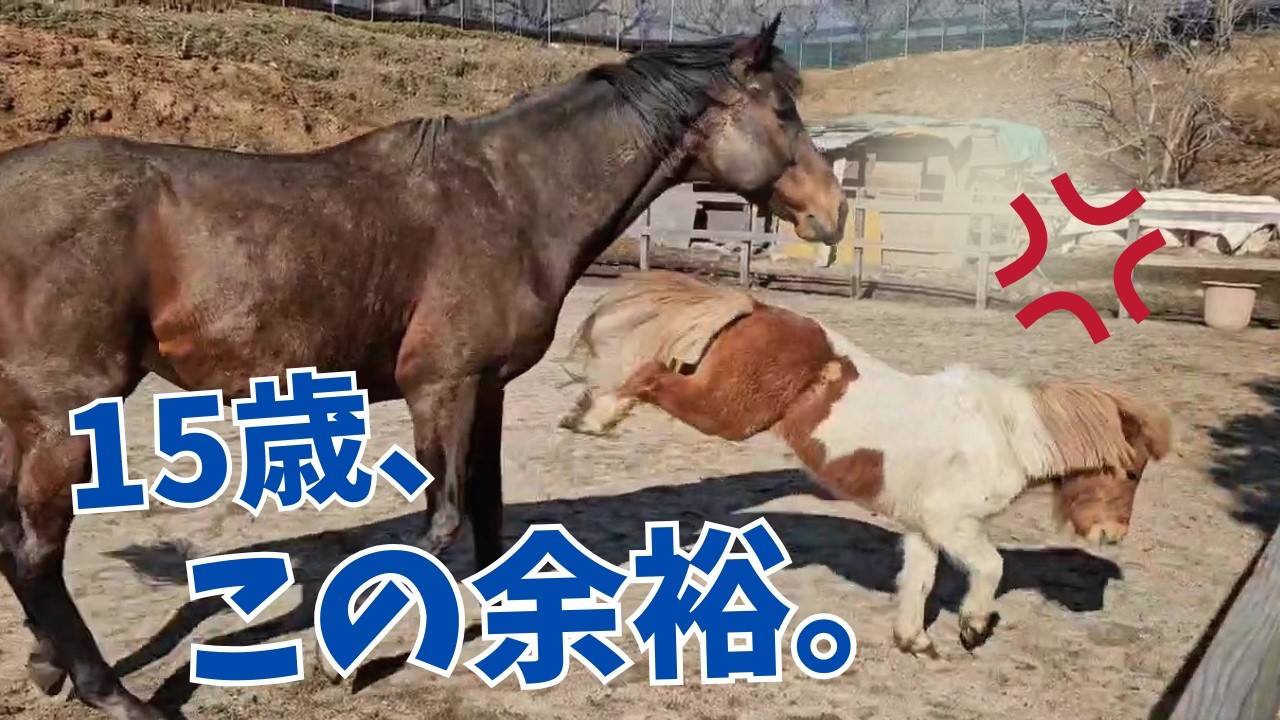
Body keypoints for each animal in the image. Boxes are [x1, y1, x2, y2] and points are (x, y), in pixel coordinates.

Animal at [0, 16, 848, 719]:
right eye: (782, 111)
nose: (833, 215)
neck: (509, 199)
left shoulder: (487, 388)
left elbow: (491, 513)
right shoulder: (441, 387)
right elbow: (440, 526)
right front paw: (351, 661)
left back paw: (51, 666)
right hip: (66, 414)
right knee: (37, 553)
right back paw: (114, 695)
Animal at [558, 270, 1174, 657]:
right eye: (1131, 471)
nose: (1113, 535)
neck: (1003, 433)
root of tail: (758, 306)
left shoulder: (926, 530)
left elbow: (918, 583)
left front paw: (915, 642)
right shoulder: (955, 524)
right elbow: (991, 567)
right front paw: (973, 628)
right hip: (727, 413)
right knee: (649, 376)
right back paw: (594, 416)